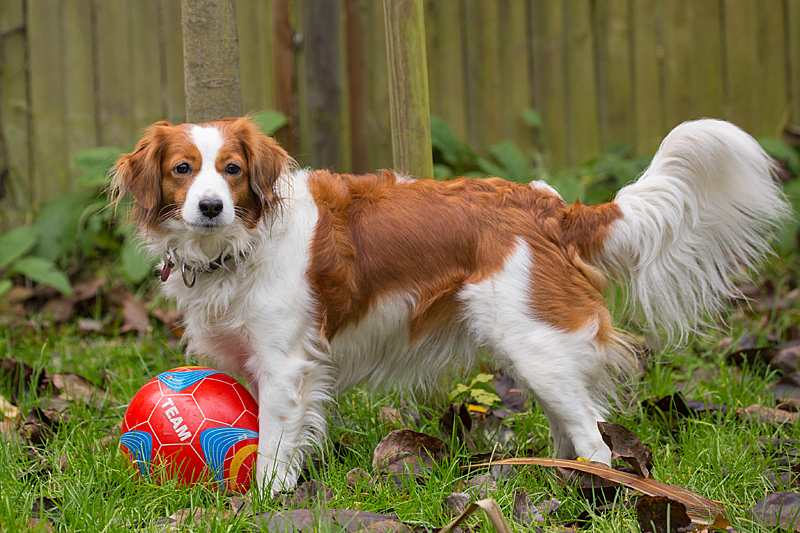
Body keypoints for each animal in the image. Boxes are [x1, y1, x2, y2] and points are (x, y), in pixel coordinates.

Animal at [111, 118, 788, 492]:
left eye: (231, 169)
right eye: (182, 169)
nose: (210, 206)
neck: (238, 245)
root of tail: (552, 208)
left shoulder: (286, 367)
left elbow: (275, 448)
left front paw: (264, 502)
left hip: (537, 349)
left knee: (596, 443)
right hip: (534, 355)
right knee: (573, 430)